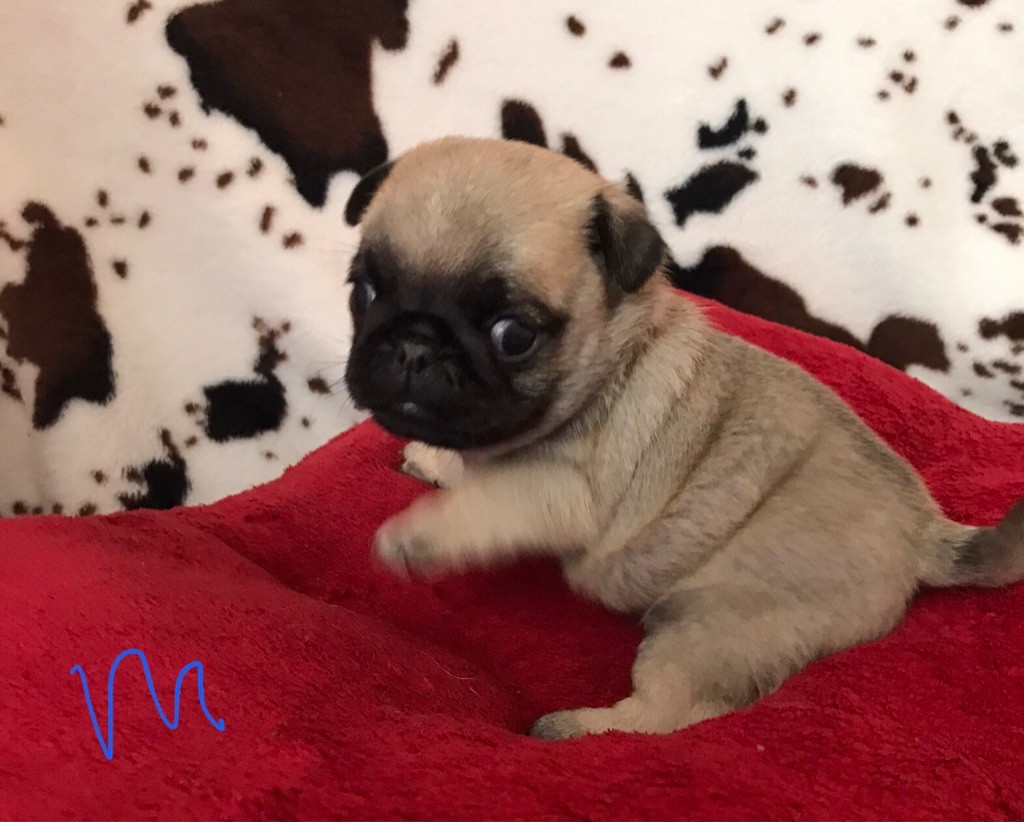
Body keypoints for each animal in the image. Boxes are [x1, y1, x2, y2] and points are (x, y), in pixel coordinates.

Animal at [342, 136, 1024, 740]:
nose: (414, 345)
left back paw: (576, 729)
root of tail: (928, 537)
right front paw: (434, 459)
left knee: (671, 713)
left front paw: (419, 535)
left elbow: (490, 502)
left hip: (706, 619)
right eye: (363, 292)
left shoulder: (563, 489)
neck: (612, 359)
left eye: (513, 335)